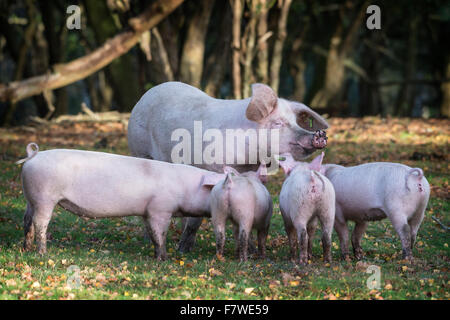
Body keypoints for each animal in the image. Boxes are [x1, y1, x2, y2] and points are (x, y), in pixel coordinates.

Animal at [17, 142, 229, 260]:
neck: (184, 187)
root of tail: (33, 156)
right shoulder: (160, 209)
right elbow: (160, 234)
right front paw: (164, 259)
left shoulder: (147, 212)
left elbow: (153, 234)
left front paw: (156, 256)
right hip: (44, 197)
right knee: (40, 222)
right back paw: (43, 253)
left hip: (30, 198)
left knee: (27, 220)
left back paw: (26, 248)